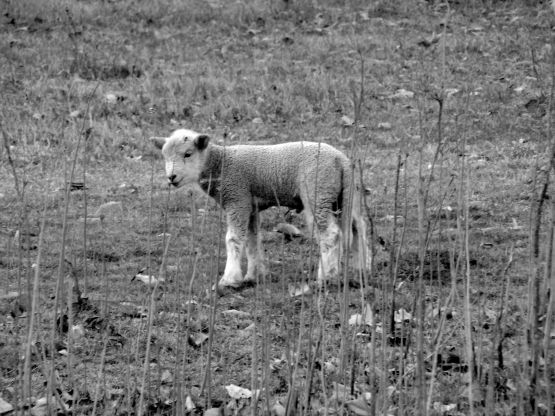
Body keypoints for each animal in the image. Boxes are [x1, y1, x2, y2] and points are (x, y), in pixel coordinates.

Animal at [150, 128, 372, 290]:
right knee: (358, 229)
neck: (220, 163)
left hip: (318, 192)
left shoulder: (237, 197)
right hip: (346, 197)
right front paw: (253, 276)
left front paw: (229, 279)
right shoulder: (250, 206)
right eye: (164, 157)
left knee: (330, 234)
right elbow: (251, 241)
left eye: (188, 154)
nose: (171, 177)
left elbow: (233, 239)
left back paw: (326, 277)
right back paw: (361, 271)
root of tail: (341, 161)